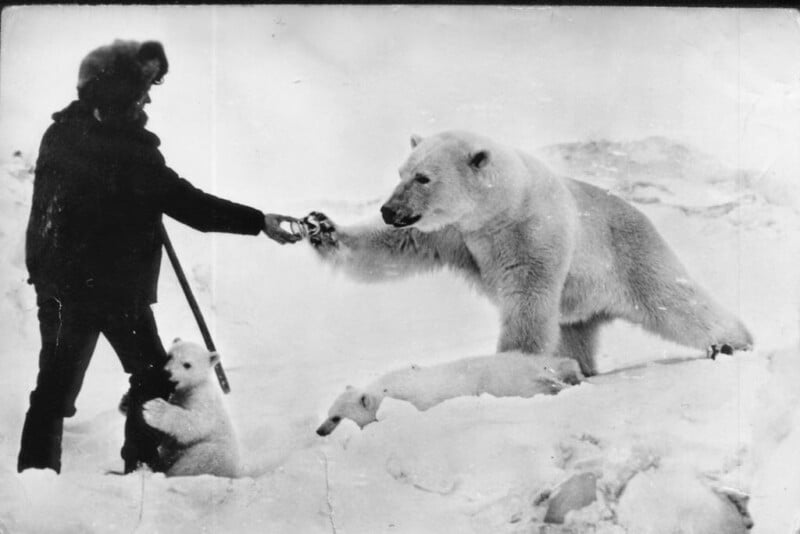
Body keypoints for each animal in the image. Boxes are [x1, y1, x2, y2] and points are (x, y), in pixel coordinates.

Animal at [142, 339, 240, 477]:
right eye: (170, 356)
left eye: (187, 364)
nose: (167, 372)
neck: (191, 387)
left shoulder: (203, 398)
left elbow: (196, 423)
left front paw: (154, 410)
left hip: (211, 454)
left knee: (195, 461)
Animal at [305, 130, 752, 376]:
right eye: (401, 172)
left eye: (423, 177)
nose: (388, 209)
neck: (499, 210)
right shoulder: (454, 234)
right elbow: (395, 246)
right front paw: (321, 227)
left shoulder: (533, 232)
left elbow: (528, 298)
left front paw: (509, 365)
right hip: (580, 302)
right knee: (574, 333)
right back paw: (583, 369)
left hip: (629, 254)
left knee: (673, 300)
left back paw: (733, 343)